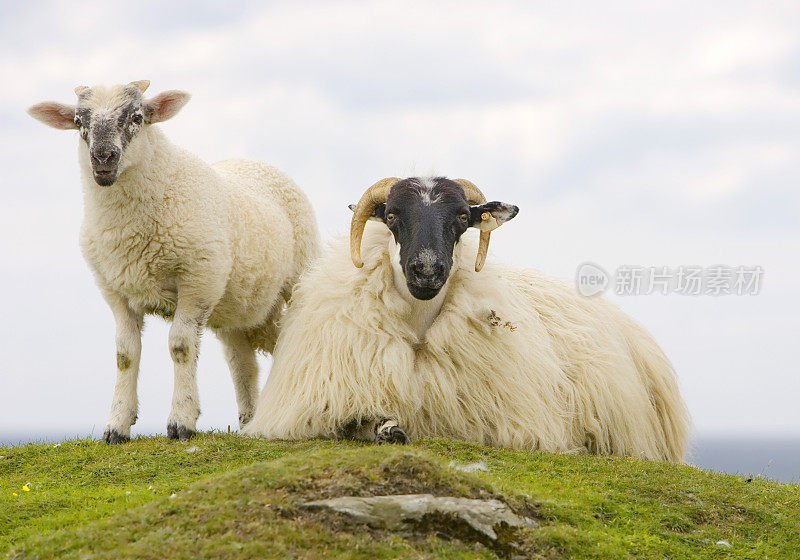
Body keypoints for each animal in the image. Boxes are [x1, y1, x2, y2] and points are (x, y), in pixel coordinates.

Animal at [29, 81, 320, 444]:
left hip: (299, 272)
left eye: (137, 117)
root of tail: (253, 161)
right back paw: (249, 421)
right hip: (235, 308)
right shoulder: (115, 289)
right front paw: (117, 425)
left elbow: (180, 346)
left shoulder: (199, 279)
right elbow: (125, 354)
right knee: (242, 363)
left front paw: (181, 421)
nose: (103, 158)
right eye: (80, 122)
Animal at [247, 177, 692, 462]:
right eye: (391, 216)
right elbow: (354, 420)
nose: (427, 269)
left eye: (463, 217)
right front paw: (386, 428)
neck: (417, 327)